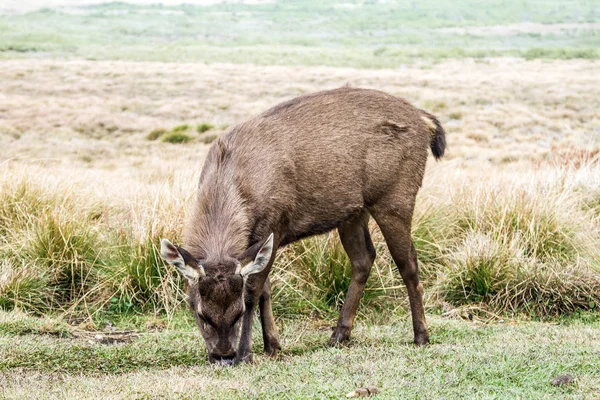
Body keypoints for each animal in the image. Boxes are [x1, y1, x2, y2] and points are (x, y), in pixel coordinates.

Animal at [161, 87, 446, 366]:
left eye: (238, 312)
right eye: (200, 313)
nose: (223, 356)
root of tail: (424, 120)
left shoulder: (273, 225)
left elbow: (254, 289)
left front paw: (247, 353)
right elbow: (266, 289)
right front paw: (273, 346)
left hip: (396, 195)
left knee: (408, 263)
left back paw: (421, 336)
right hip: (354, 212)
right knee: (364, 258)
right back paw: (339, 335)